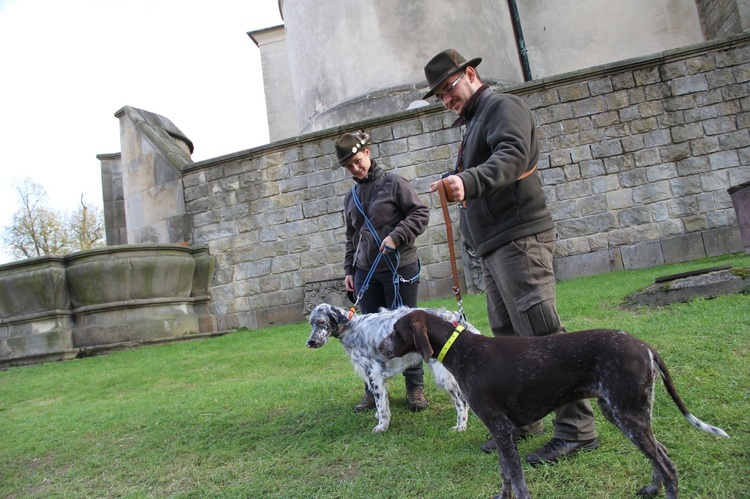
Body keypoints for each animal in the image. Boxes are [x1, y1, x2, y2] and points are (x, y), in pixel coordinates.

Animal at [306, 302, 476, 436]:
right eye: (311, 323)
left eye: (321, 321)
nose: (310, 342)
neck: (351, 328)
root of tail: (459, 320)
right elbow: (382, 401)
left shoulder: (374, 373)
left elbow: (381, 404)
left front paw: (382, 426)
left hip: (444, 376)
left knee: (461, 400)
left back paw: (461, 426)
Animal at [378, 310, 732, 498]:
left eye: (395, 331)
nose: (380, 348)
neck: (463, 350)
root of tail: (644, 346)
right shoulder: (501, 432)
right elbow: (505, 475)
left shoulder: (502, 429)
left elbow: (518, 479)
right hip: (623, 413)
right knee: (660, 453)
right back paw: (651, 488)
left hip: (627, 415)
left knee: (668, 466)